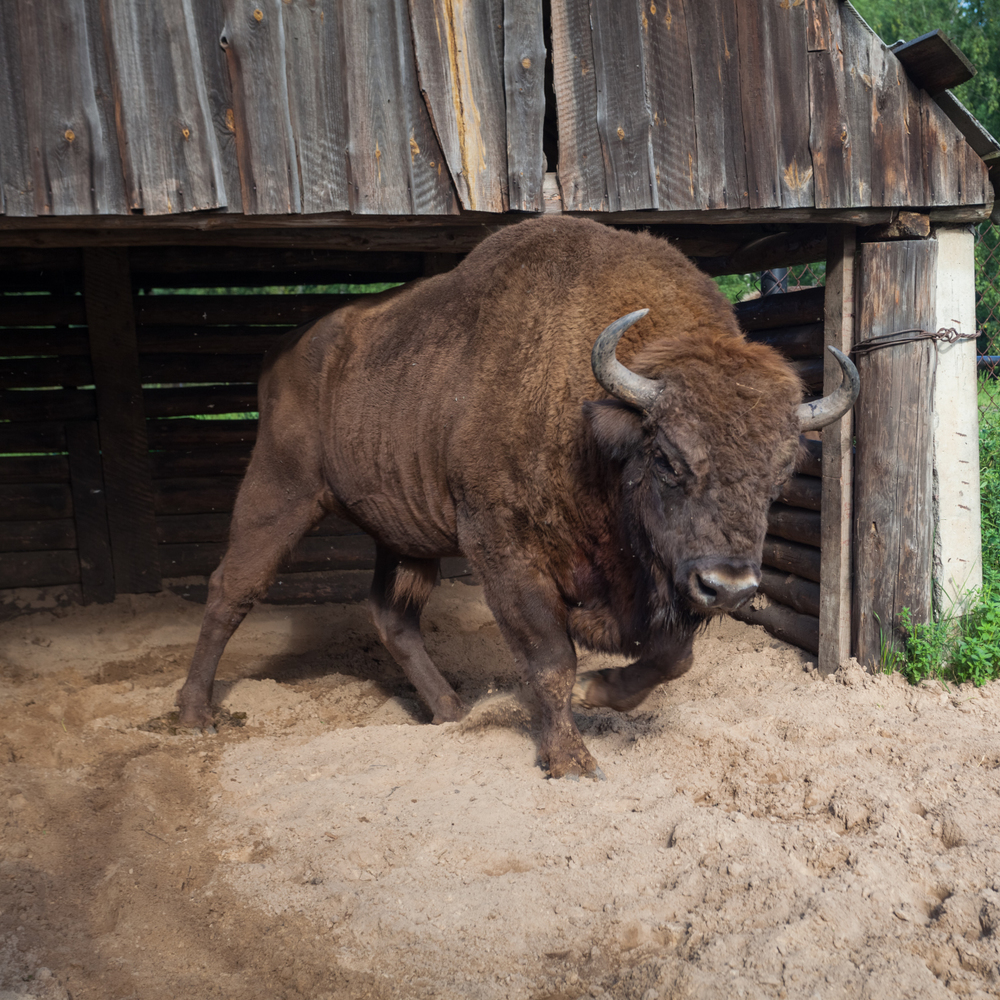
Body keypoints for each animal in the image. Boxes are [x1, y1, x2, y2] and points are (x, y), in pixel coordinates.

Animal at [176, 219, 856, 780]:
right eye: (667, 458)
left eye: (780, 475)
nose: (730, 586)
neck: (594, 429)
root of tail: (282, 351)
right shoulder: (502, 548)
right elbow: (551, 659)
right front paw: (572, 759)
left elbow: (674, 656)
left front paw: (602, 692)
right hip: (280, 489)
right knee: (231, 588)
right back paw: (194, 714)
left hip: (402, 533)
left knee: (394, 616)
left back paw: (451, 710)